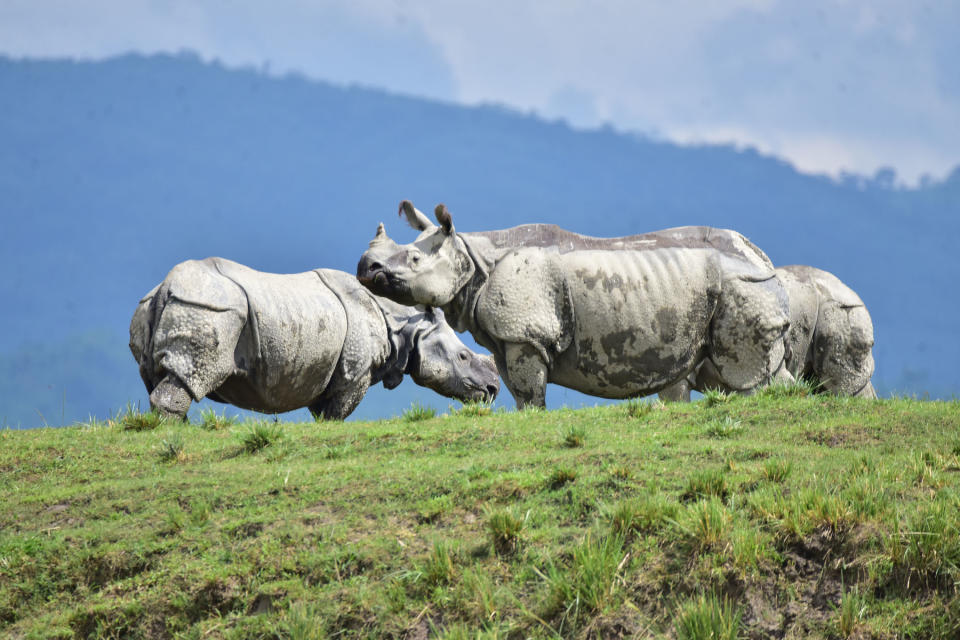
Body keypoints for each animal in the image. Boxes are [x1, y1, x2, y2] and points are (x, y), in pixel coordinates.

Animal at [128, 255, 498, 420]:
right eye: (464, 356)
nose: (492, 389)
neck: (405, 324)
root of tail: (166, 288)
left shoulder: (332, 371)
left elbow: (322, 413)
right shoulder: (355, 373)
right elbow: (337, 414)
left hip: (158, 308)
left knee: (158, 376)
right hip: (211, 308)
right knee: (196, 372)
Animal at [356, 202, 792, 408]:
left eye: (414, 260)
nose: (366, 267)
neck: (471, 256)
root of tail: (765, 263)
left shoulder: (525, 334)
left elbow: (530, 391)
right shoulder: (507, 338)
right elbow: (518, 391)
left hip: (742, 289)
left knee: (745, 375)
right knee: (752, 374)